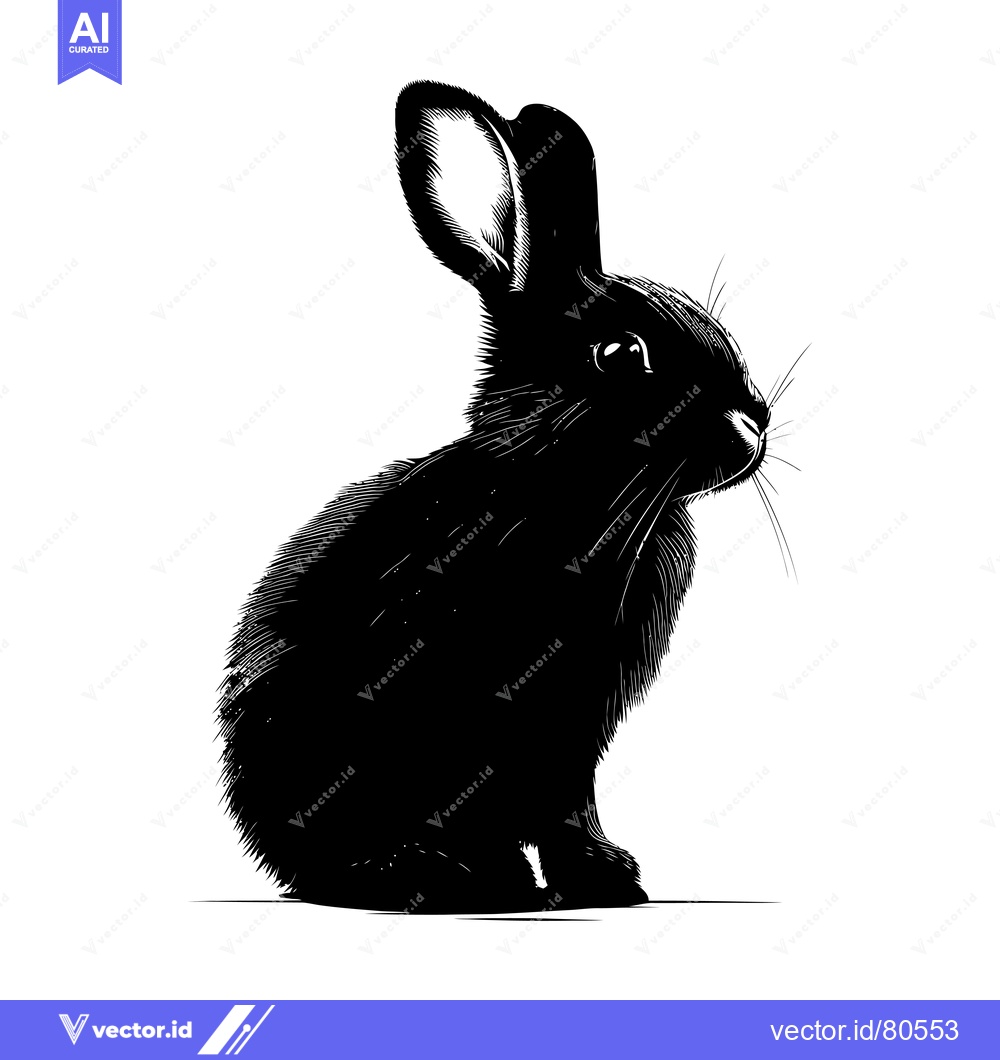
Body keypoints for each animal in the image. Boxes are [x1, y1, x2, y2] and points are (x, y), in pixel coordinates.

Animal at [217, 80, 775, 913]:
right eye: (621, 353)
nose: (750, 428)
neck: (571, 489)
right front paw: (498, 879)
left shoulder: (575, 733)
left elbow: (568, 805)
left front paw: (603, 878)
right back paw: (431, 874)